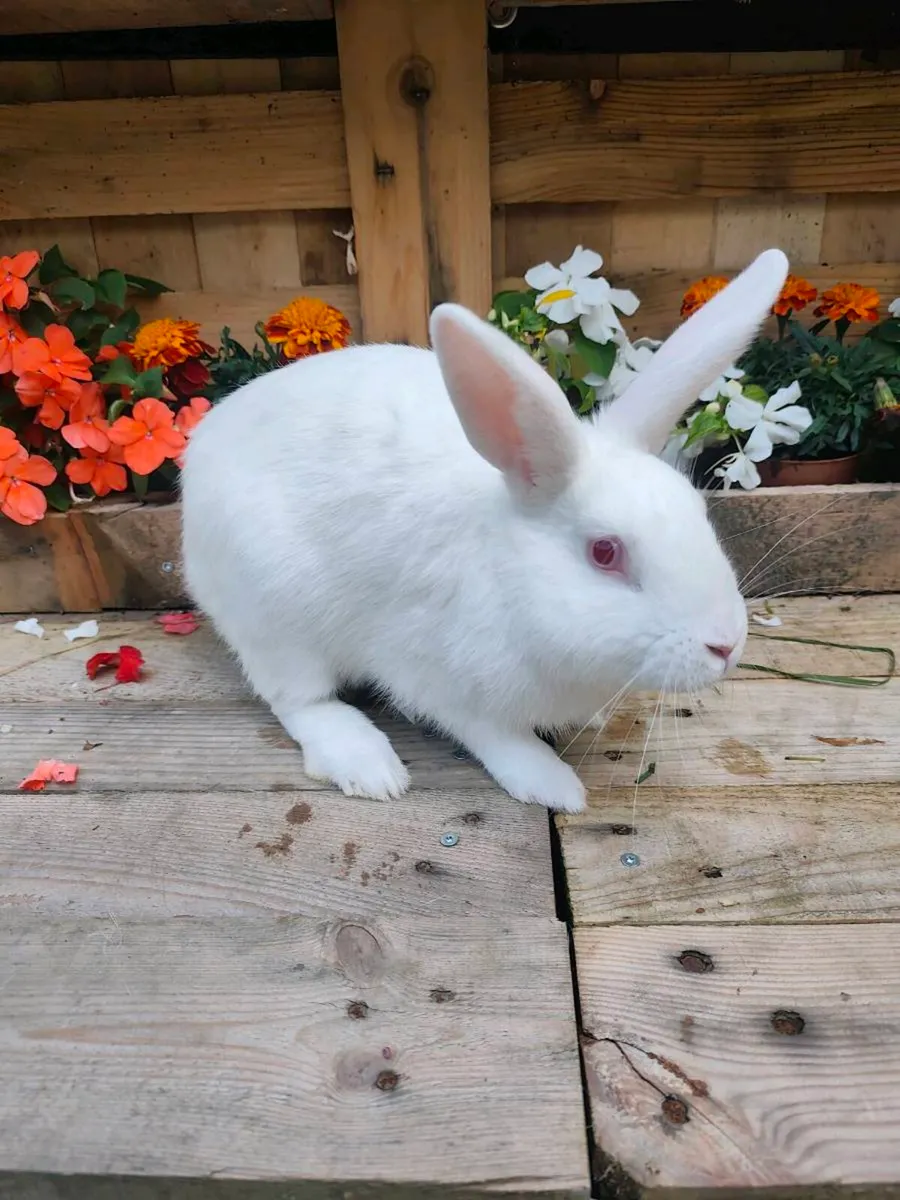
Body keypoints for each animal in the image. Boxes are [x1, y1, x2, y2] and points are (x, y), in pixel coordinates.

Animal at [180, 248, 789, 814]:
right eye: (605, 552)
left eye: (698, 511)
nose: (727, 644)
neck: (511, 579)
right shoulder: (436, 673)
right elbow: (491, 733)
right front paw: (551, 782)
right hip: (276, 613)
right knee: (298, 700)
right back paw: (368, 765)